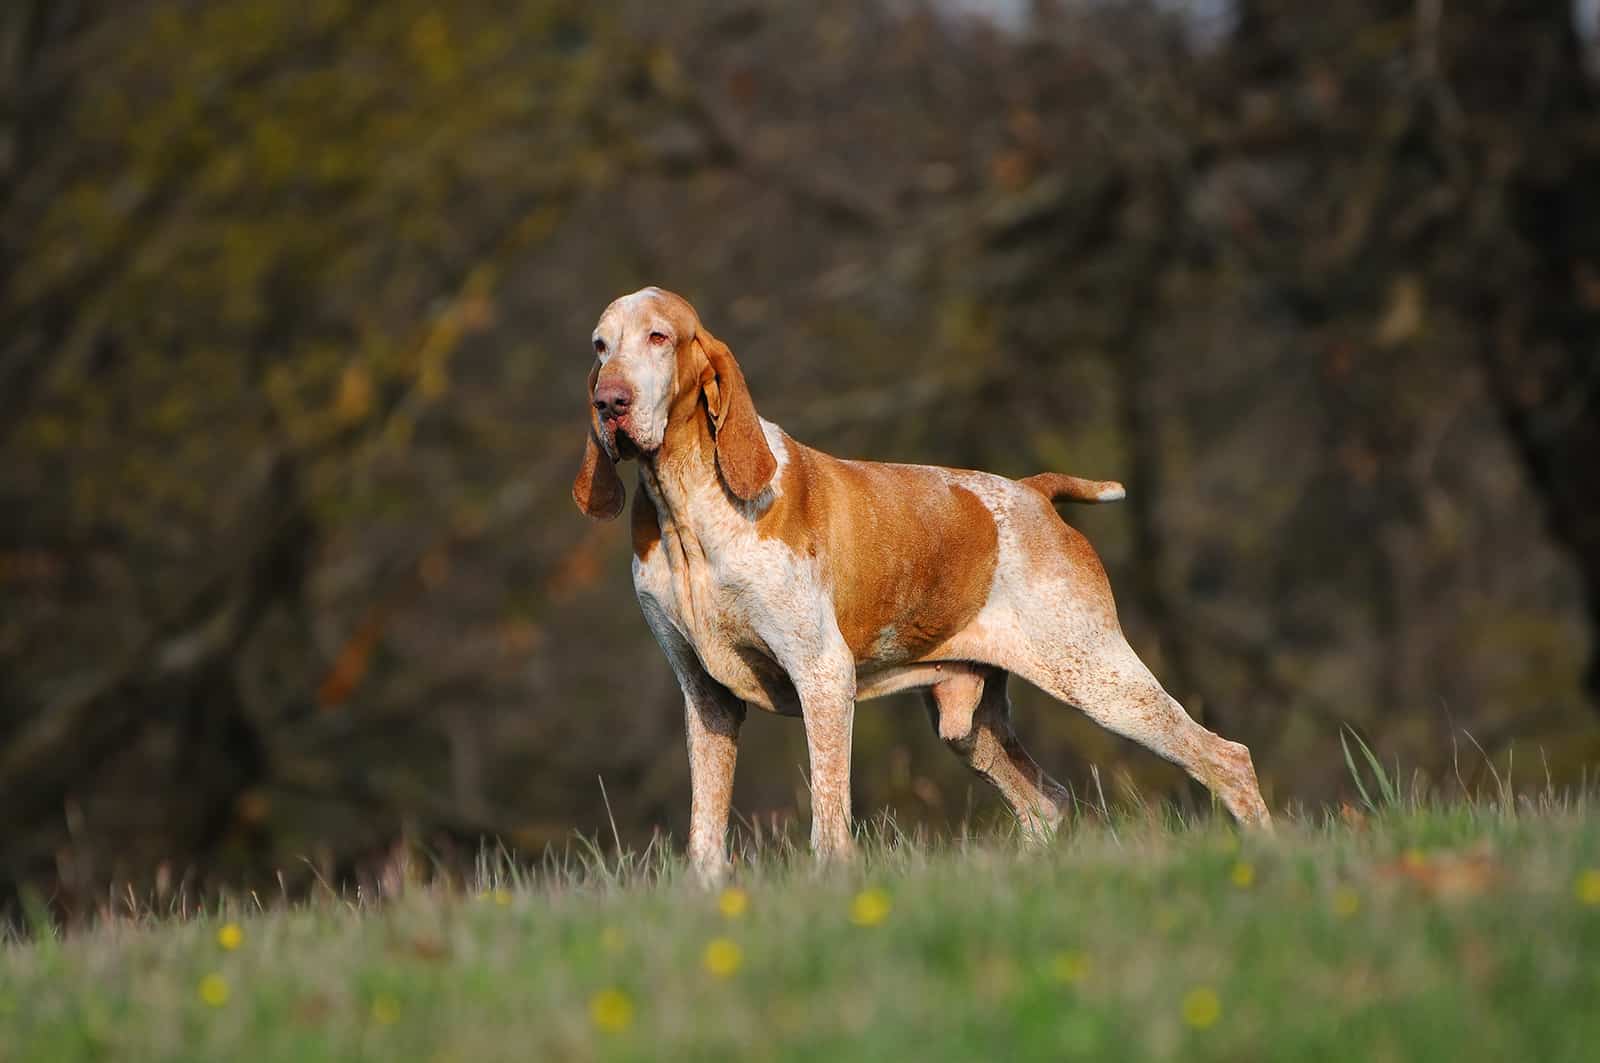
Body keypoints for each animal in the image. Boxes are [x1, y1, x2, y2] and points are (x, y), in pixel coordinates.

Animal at [569, 286, 1267, 877]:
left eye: (659, 337)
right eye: (600, 345)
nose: (610, 402)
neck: (686, 506)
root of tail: (1033, 493)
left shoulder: (822, 674)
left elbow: (829, 818)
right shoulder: (707, 698)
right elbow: (706, 835)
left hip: (1101, 679)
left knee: (1225, 757)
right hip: (969, 726)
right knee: (1047, 803)